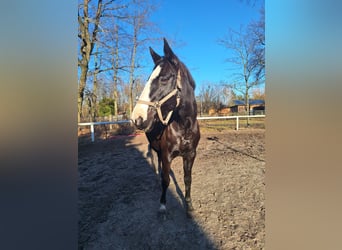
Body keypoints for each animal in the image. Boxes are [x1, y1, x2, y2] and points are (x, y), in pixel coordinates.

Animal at [131, 38, 200, 214]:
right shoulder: (166, 154)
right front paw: (162, 205)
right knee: (158, 166)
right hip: (156, 149)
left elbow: (187, 179)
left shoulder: (190, 155)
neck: (184, 128)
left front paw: (189, 205)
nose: (137, 118)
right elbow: (166, 180)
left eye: (164, 78)